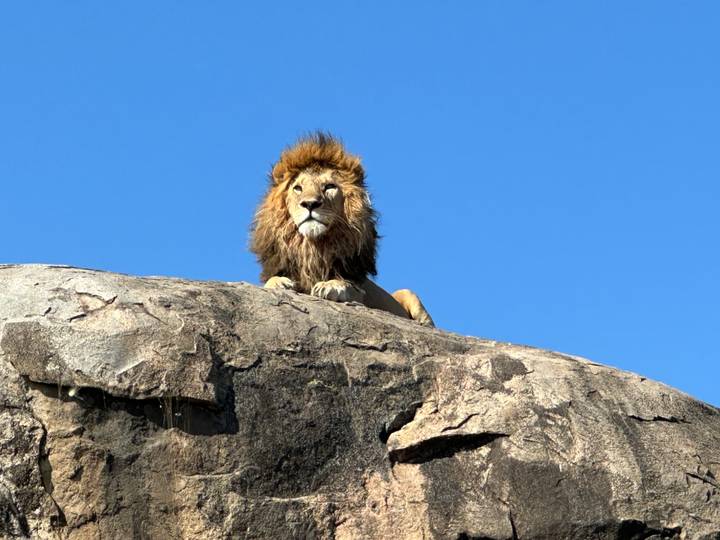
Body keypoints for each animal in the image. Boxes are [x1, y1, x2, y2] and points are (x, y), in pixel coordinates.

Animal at [250, 132, 434, 326]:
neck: (313, 248)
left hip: (409, 293)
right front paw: (279, 283)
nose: (310, 204)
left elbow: (347, 285)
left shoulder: (361, 293)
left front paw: (329, 286)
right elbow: (270, 282)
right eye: (297, 188)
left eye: (329, 187)